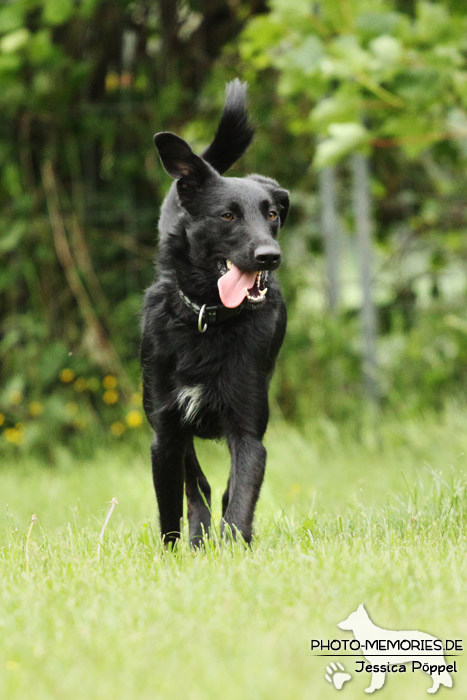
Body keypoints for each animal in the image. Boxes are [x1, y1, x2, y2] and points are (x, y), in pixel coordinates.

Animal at [142, 82, 288, 548]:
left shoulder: (248, 431)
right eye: (227, 215)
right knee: (197, 484)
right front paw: (175, 551)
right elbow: (173, 504)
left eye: (271, 214)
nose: (270, 256)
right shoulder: (165, 432)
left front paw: (234, 549)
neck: (208, 320)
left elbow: (239, 498)